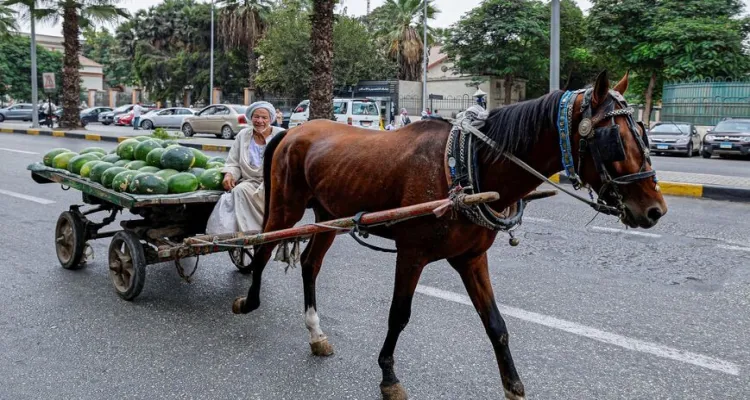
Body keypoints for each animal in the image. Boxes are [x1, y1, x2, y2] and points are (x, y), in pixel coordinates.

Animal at [232, 70, 668, 398]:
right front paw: (388, 375)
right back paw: (250, 300)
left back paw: (315, 331)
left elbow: (496, 324)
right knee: (262, 247)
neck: (469, 167)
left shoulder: (471, 258)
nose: (654, 210)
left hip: (328, 215)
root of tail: (289, 132)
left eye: (644, 134)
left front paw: (513, 384)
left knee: (310, 263)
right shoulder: (411, 255)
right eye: (615, 139)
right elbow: (399, 315)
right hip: (286, 206)